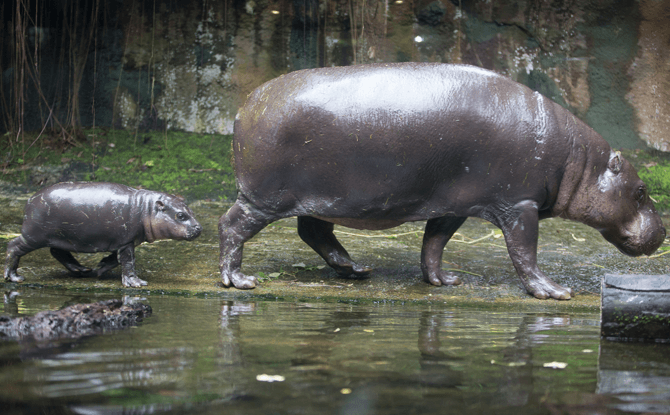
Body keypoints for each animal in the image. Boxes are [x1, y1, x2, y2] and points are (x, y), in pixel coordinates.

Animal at [3, 182, 202, 290]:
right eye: (180, 215)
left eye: (191, 210)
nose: (199, 227)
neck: (146, 208)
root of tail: (30, 200)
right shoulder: (126, 241)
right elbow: (128, 261)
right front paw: (136, 283)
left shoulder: (123, 241)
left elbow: (115, 259)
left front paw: (100, 268)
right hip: (34, 236)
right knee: (13, 246)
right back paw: (13, 277)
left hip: (62, 237)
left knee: (57, 251)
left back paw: (81, 270)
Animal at [220, 62, 668, 300]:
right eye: (642, 191)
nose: (663, 231)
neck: (579, 162)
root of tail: (244, 107)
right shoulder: (518, 204)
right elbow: (525, 253)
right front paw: (553, 292)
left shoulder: (456, 202)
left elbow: (434, 243)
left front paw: (443, 281)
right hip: (265, 197)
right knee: (232, 226)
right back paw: (239, 282)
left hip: (320, 196)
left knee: (314, 230)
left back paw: (356, 270)